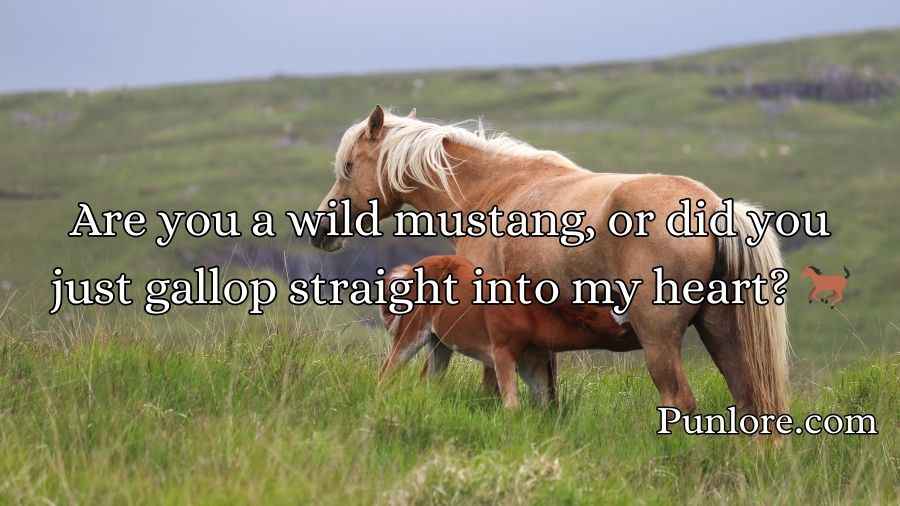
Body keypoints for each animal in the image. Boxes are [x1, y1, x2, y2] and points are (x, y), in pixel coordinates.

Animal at [377, 255, 634, 408]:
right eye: (623, 333)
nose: (634, 331)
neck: (529, 313)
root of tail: (411, 269)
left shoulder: (532, 362)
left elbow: (542, 402)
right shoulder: (501, 354)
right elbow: (512, 404)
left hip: (440, 342)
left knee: (429, 380)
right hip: (412, 332)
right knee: (387, 370)